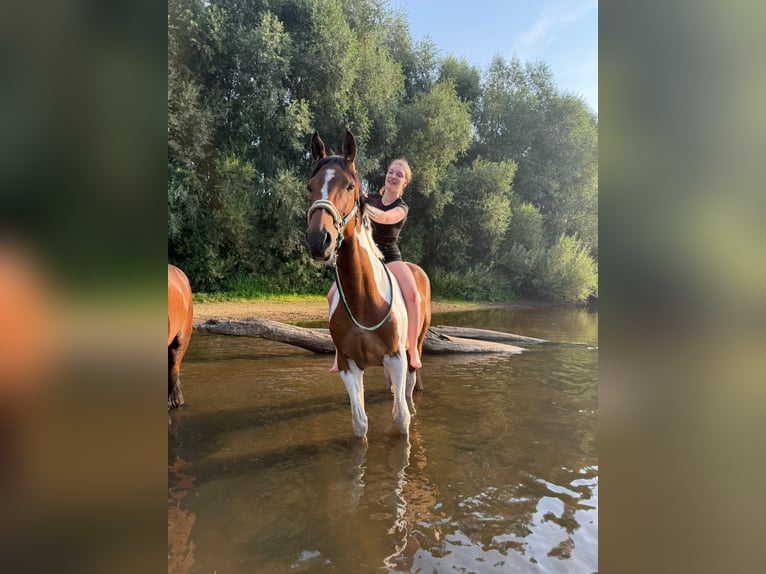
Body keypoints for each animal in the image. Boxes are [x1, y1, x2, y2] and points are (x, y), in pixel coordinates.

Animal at [304, 130, 431, 438]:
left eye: (350, 186)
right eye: (310, 187)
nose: (318, 240)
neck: (364, 300)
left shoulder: (397, 358)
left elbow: (402, 418)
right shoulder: (349, 366)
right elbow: (360, 423)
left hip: (415, 348)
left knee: (408, 390)